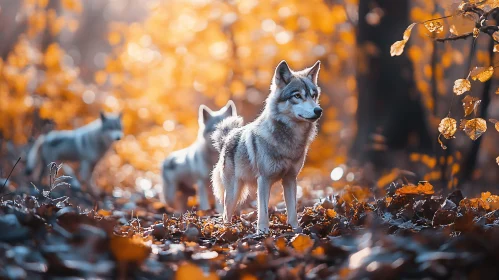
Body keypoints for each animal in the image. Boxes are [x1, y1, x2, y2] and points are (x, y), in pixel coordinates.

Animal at [212, 60, 324, 233]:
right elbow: (263, 211)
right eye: (297, 96)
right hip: (233, 192)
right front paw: (262, 232)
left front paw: (296, 231)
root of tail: (227, 137)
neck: (288, 140)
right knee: (226, 214)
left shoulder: (290, 179)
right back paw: (227, 230)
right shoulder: (264, 180)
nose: (318, 110)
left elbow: (293, 211)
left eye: (313, 95)